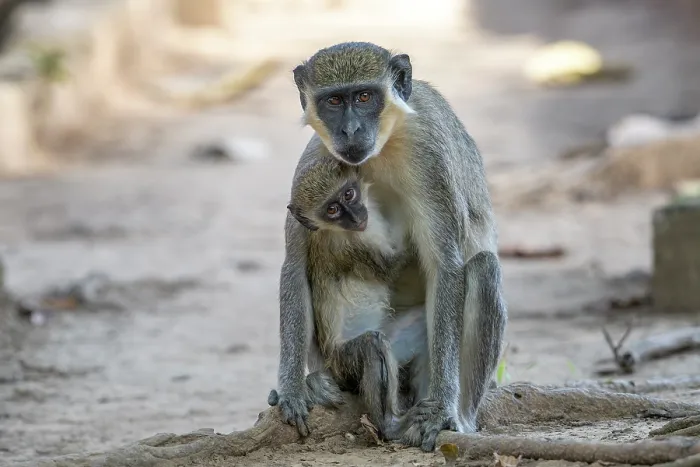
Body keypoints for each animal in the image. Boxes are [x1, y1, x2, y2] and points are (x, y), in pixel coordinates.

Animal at [273, 41, 507, 452]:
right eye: (334, 101)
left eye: (365, 97)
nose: (350, 129)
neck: (382, 149)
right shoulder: (317, 159)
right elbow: (295, 267)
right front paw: (291, 390)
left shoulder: (430, 159)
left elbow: (445, 264)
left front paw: (442, 410)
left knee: (482, 269)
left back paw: (458, 416)